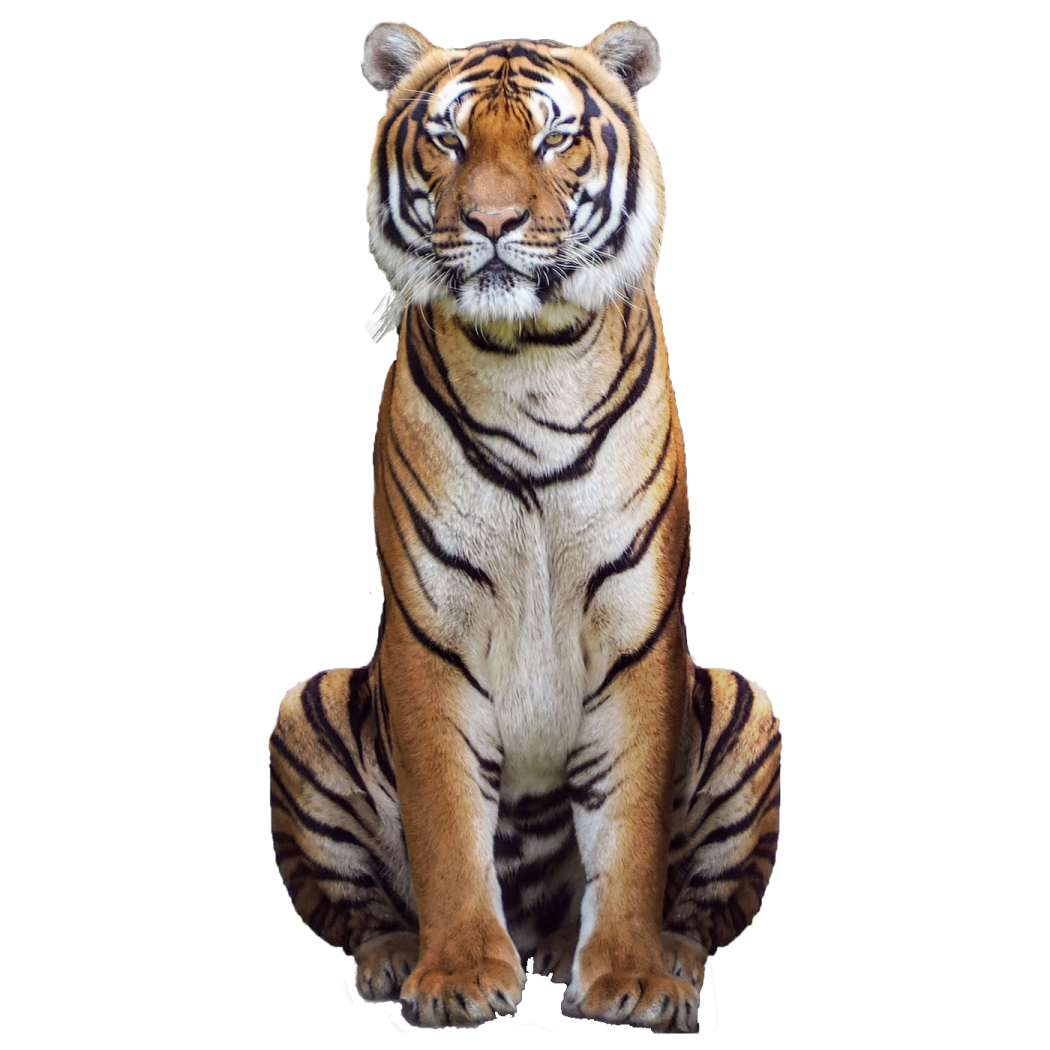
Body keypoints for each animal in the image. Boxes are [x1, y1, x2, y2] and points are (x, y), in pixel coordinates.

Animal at [268, 20, 782, 1032]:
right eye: (448, 139)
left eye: (554, 140)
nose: (493, 222)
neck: (531, 357)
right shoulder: (429, 630)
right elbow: (444, 822)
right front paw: (460, 974)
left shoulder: (640, 629)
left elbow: (630, 830)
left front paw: (627, 977)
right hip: (307, 706)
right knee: (354, 907)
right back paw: (399, 954)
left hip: (748, 705)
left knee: (702, 907)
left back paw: (662, 964)